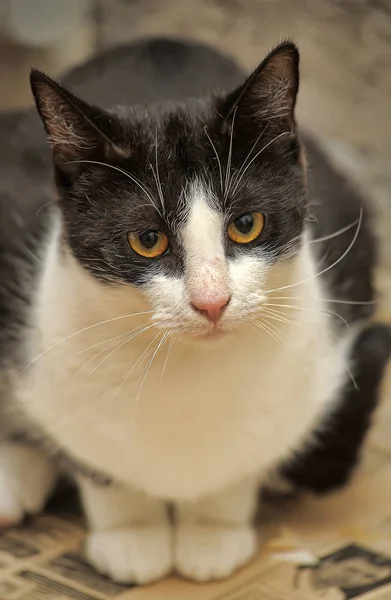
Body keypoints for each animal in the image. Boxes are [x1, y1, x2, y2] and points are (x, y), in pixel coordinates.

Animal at [0, 38, 391, 584]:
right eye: (148, 239)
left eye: (246, 224)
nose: (212, 301)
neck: (187, 371)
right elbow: (92, 454)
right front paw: (131, 534)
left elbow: (249, 456)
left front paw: (213, 530)